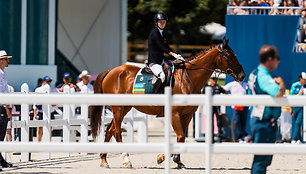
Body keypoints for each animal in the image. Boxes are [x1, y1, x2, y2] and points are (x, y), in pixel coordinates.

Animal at [89, 38, 245, 169]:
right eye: (228, 56)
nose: (242, 76)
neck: (188, 78)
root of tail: (110, 71)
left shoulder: (187, 115)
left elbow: (181, 138)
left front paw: (178, 161)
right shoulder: (174, 113)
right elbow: (180, 136)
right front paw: (164, 157)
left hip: (124, 108)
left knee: (109, 130)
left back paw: (104, 160)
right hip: (118, 108)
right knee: (116, 131)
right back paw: (126, 160)